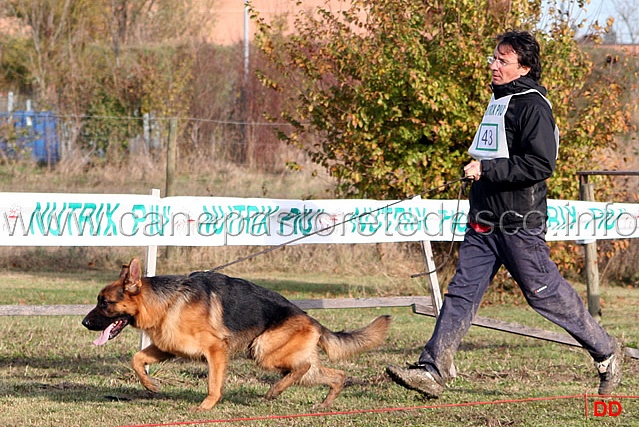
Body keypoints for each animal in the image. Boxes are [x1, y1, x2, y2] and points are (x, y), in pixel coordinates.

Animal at [82, 260, 392, 410]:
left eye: (104, 303)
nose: (84, 322)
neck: (165, 302)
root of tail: (311, 319)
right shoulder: (168, 348)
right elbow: (136, 359)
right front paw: (151, 386)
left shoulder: (216, 350)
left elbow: (213, 385)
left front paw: (206, 407)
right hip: (287, 359)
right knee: (334, 375)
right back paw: (323, 403)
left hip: (263, 350)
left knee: (301, 367)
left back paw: (275, 391)